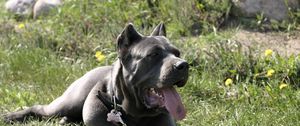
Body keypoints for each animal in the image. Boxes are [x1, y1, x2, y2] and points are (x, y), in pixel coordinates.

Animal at [3, 23, 189, 125]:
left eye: (177, 53)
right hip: (69, 102)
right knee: (39, 108)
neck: (134, 114)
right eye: (153, 54)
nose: (183, 65)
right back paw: (10, 116)